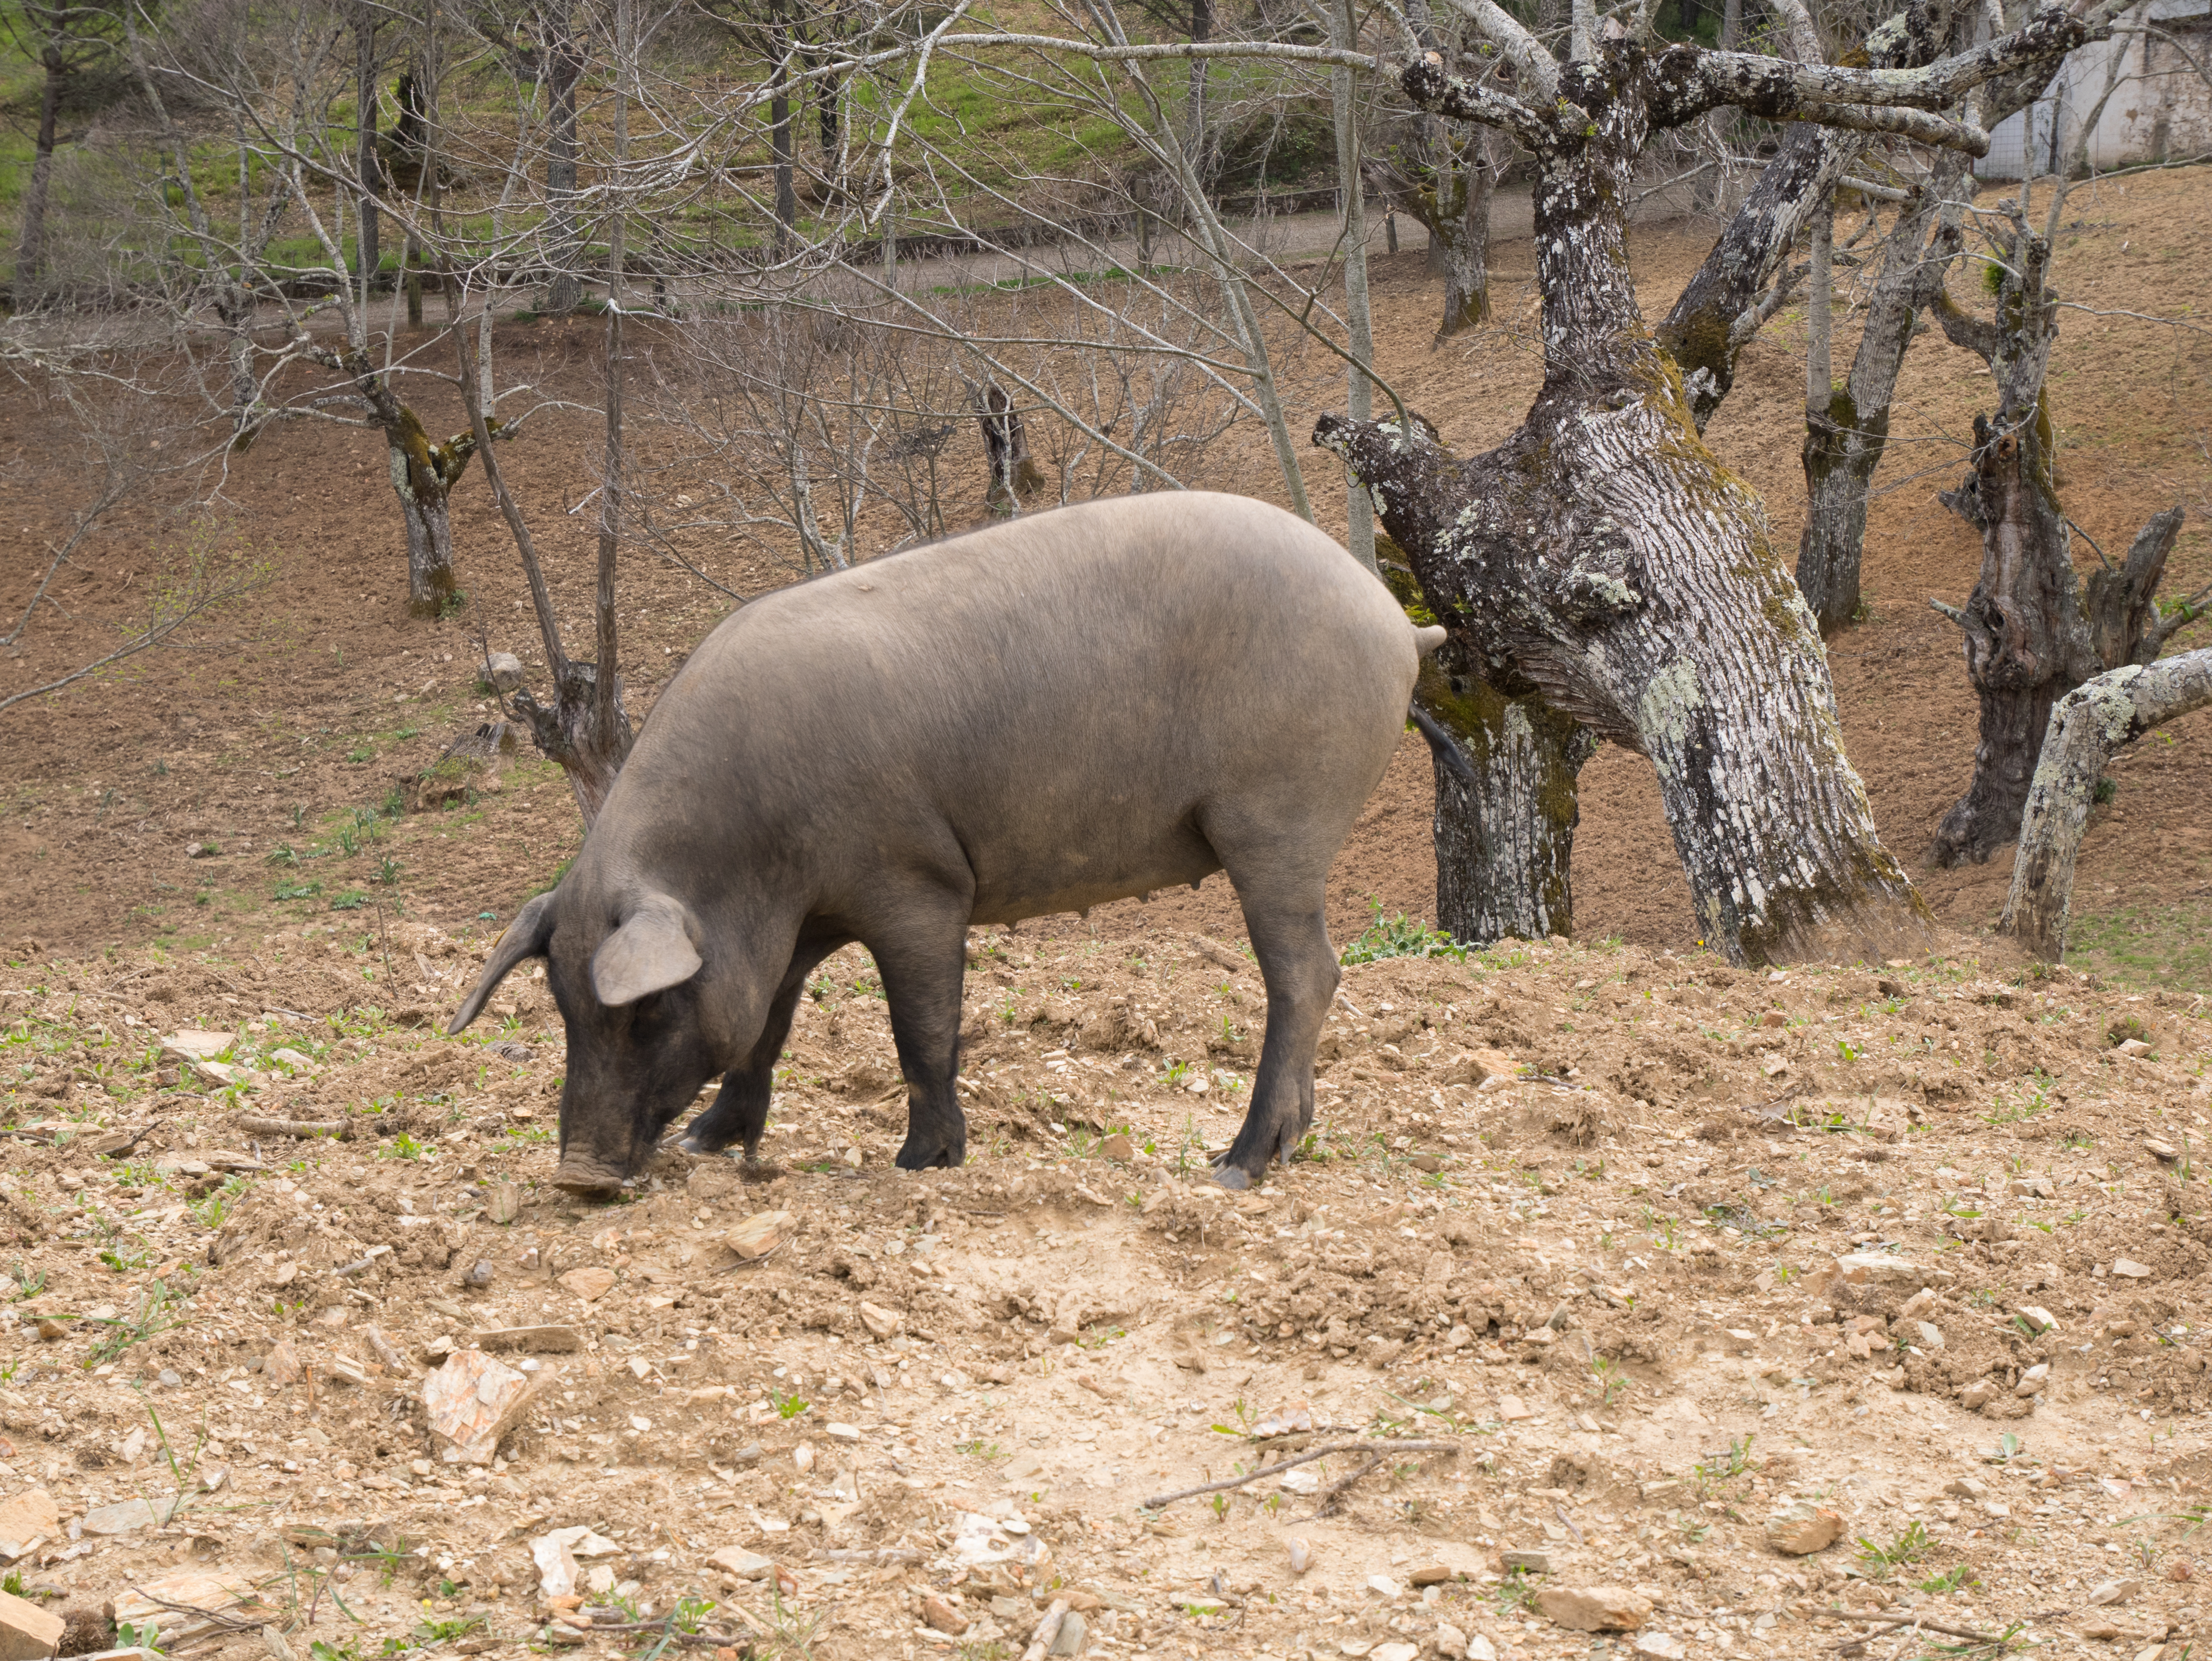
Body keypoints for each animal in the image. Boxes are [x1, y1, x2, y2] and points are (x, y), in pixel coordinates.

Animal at [450, 491, 1448, 1193]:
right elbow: (767, 1023)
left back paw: (1235, 1165)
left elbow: (920, 1025)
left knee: (1306, 971)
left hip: (1278, 819)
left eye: (646, 1009)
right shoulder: (799, 924)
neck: (751, 859)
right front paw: (708, 1142)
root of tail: (1396, 620)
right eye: (563, 1005)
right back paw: (1285, 1146)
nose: (578, 1175)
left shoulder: (916, 881)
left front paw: (919, 1162)